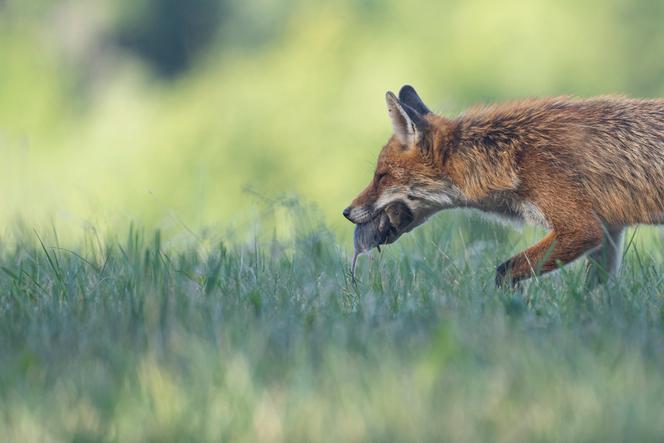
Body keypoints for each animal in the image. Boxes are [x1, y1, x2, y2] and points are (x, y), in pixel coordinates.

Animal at [343, 85, 664, 287]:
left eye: (381, 176)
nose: (346, 212)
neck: (511, 153)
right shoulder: (608, 230)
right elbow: (596, 291)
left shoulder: (581, 228)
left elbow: (504, 271)